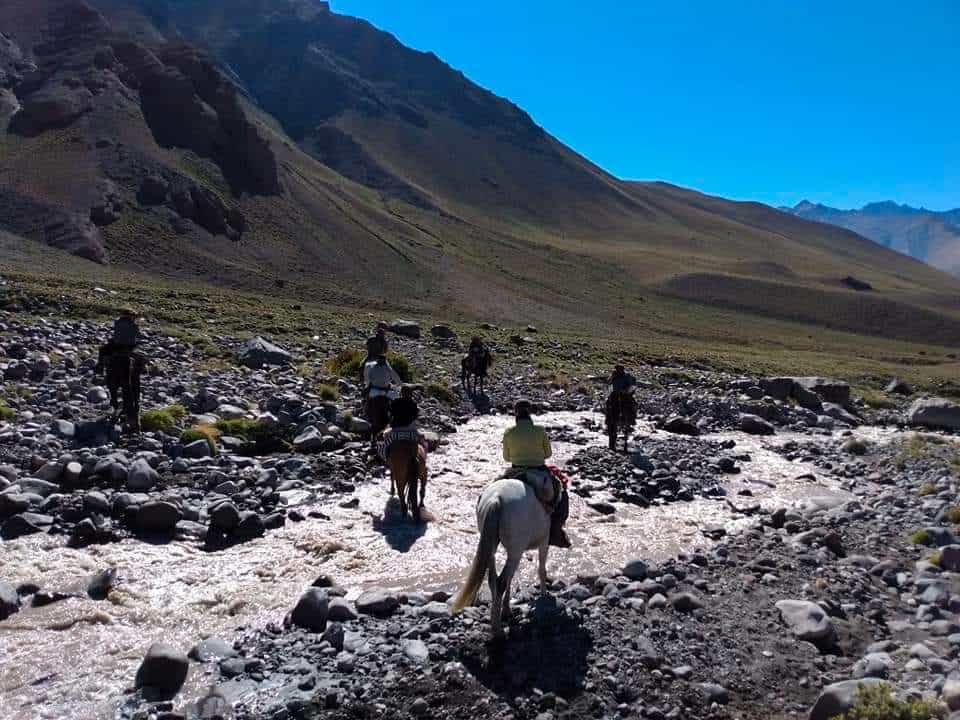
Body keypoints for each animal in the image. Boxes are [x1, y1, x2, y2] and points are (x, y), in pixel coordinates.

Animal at [452, 478, 556, 636]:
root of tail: (496, 498)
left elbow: (511, 578)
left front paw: (506, 610)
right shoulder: (544, 542)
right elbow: (541, 570)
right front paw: (544, 596)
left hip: (493, 548)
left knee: (493, 580)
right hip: (516, 551)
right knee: (501, 581)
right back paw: (498, 631)